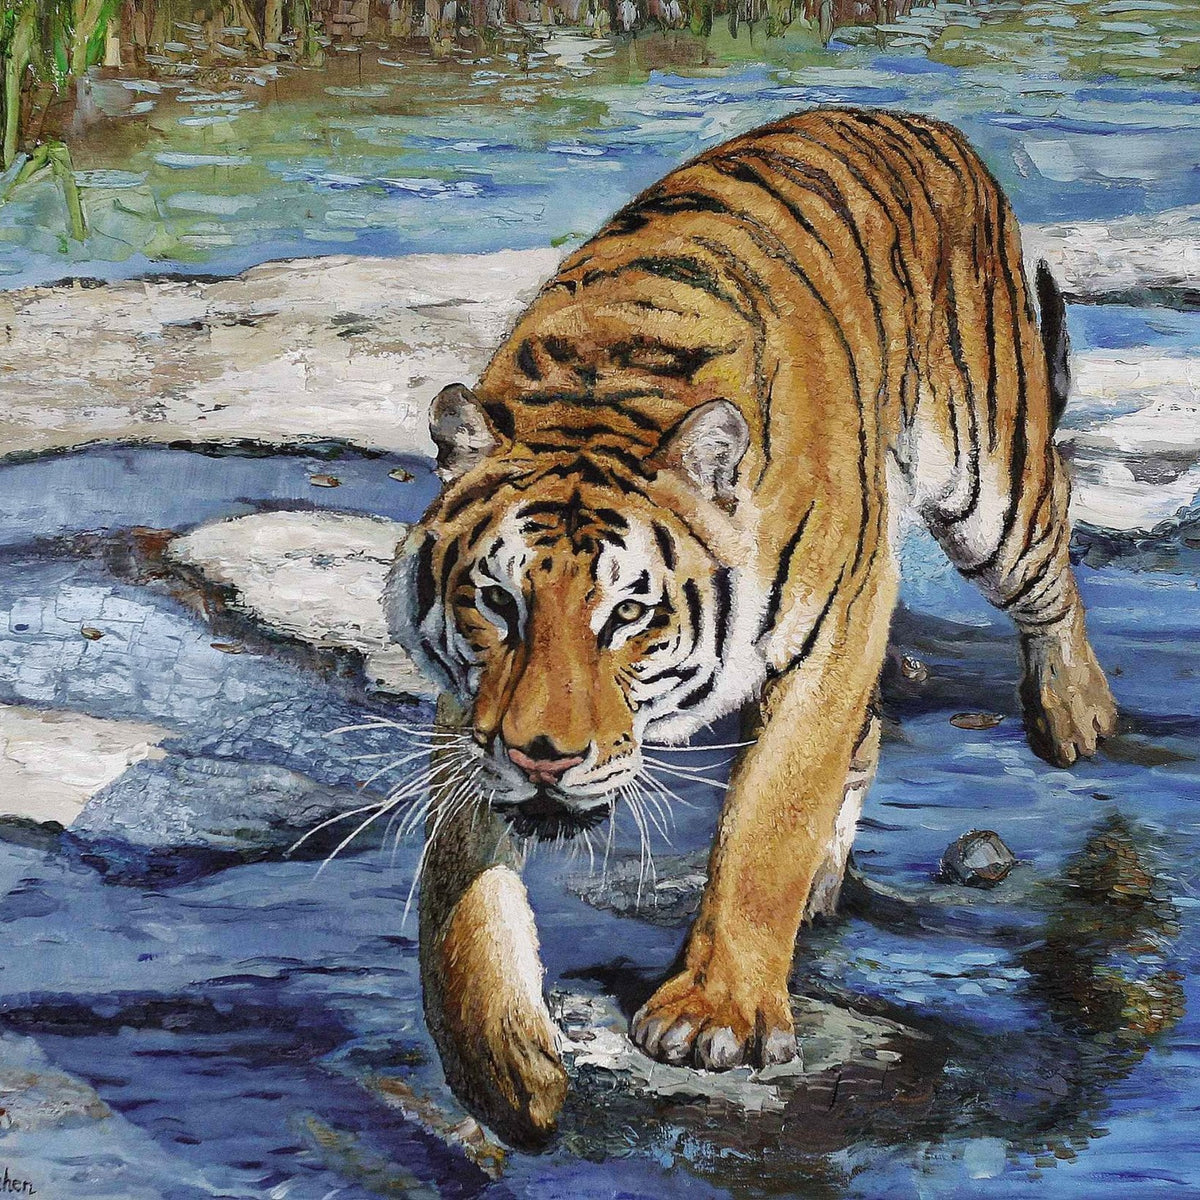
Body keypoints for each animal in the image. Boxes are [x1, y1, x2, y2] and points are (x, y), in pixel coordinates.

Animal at [385, 106, 1118, 1142]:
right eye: (497, 603)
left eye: (629, 613)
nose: (543, 758)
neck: (602, 395)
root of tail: (920, 121)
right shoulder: (473, 710)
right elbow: (459, 880)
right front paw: (501, 1064)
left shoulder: (834, 627)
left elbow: (770, 818)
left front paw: (713, 1016)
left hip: (990, 483)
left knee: (1054, 534)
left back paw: (1075, 713)